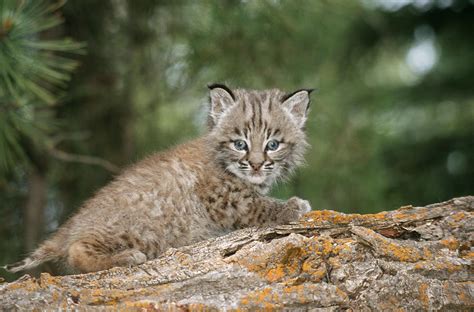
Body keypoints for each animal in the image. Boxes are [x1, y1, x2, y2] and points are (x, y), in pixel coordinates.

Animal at [5, 84, 314, 272]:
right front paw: (291, 207)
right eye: (240, 144)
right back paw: (125, 257)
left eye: (273, 144)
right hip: (142, 227)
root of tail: (72, 224)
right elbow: (256, 206)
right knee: (75, 250)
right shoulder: (224, 199)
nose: (257, 165)